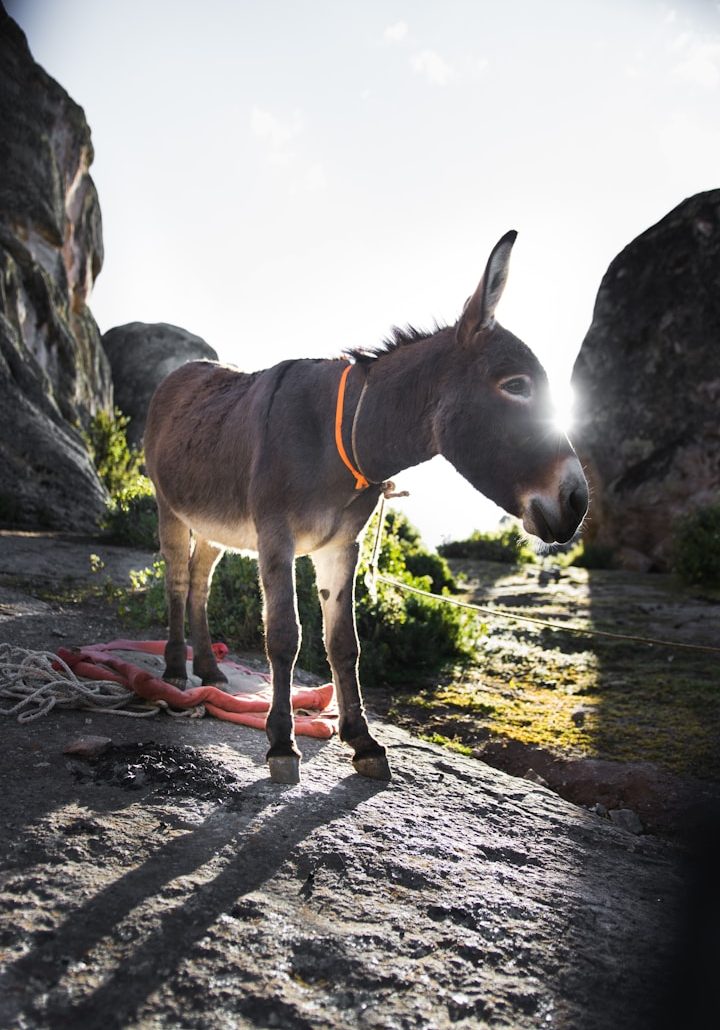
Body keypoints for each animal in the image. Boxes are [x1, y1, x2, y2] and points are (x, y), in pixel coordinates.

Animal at [144, 231, 589, 785]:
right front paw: (282, 744)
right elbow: (285, 637)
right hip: (171, 508)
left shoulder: (340, 546)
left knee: (201, 582)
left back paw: (207, 668)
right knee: (178, 582)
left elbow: (344, 644)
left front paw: (362, 741)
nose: (578, 501)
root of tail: (182, 372)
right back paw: (175, 671)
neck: (345, 437)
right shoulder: (276, 537)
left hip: (213, 525)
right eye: (517, 386)